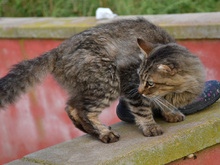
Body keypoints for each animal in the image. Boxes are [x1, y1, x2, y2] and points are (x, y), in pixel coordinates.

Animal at [0, 17, 205, 142]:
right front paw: (150, 126)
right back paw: (105, 133)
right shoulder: (128, 79)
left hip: (88, 85)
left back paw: (95, 131)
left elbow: (161, 101)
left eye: (150, 82)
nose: (140, 89)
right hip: (107, 79)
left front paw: (170, 112)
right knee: (82, 110)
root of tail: (57, 50)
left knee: (70, 106)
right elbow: (142, 109)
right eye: (139, 77)